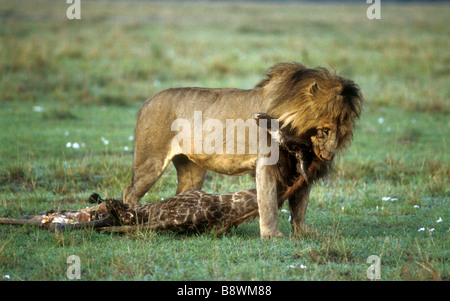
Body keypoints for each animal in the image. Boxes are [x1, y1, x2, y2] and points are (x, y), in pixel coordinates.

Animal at [124, 62, 366, 238]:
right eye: (325, 130)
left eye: (342, 133)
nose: (328, 155)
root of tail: (146, 101)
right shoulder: (267, 163)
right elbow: (268, 202)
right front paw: (272, 236)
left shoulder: (301, 170)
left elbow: (300, 206)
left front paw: (302, 233)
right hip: (150, 162)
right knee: (130, 192)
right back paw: (128, 218)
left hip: (191, 169)